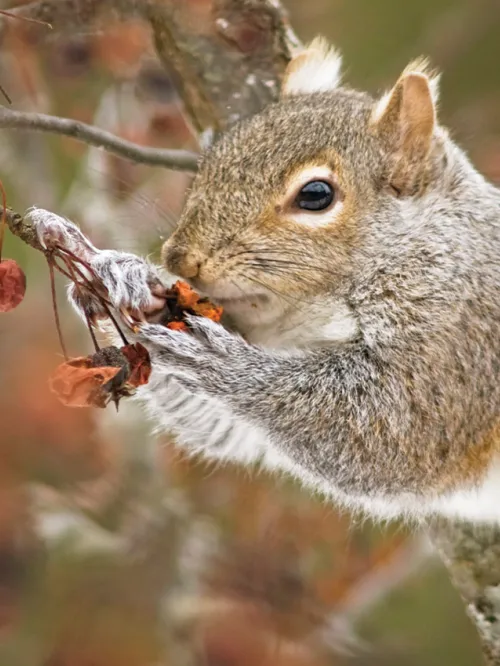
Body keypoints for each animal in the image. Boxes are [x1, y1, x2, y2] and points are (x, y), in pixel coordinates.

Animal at [32, 39, 500, 520]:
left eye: (316, 195)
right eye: (210, 162)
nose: (180, 259)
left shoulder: (456, 331)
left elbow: (397, 428)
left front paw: (223, 362)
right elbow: (222, 425)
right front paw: (118, 272)